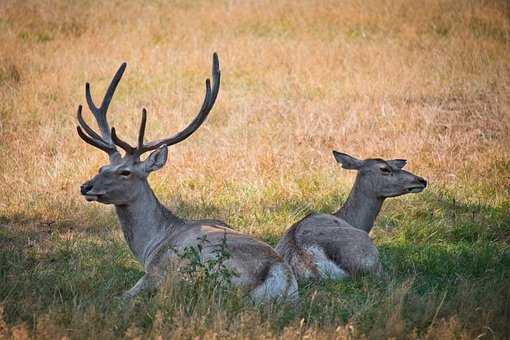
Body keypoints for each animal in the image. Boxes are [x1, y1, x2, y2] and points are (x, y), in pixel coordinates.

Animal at [76, 54, 298, 304]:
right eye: (102, 167)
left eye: (125, 172)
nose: (86, 186)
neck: (149, 246)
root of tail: (279, 274)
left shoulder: (155, 270)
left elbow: (123, 295)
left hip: (192, 273)